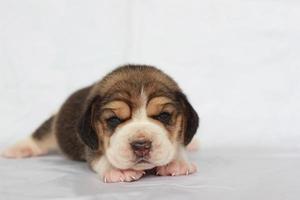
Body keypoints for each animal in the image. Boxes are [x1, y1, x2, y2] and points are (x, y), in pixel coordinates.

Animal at [2, 65, 200, 183]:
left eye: (164, 116)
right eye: (113, 120)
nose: (141, 146)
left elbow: (177, 147)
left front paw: (177, 162)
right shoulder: (90, 143)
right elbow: (100, 157)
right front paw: (117, 170)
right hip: (53, 126)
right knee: (41, 134)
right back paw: (19, 148)